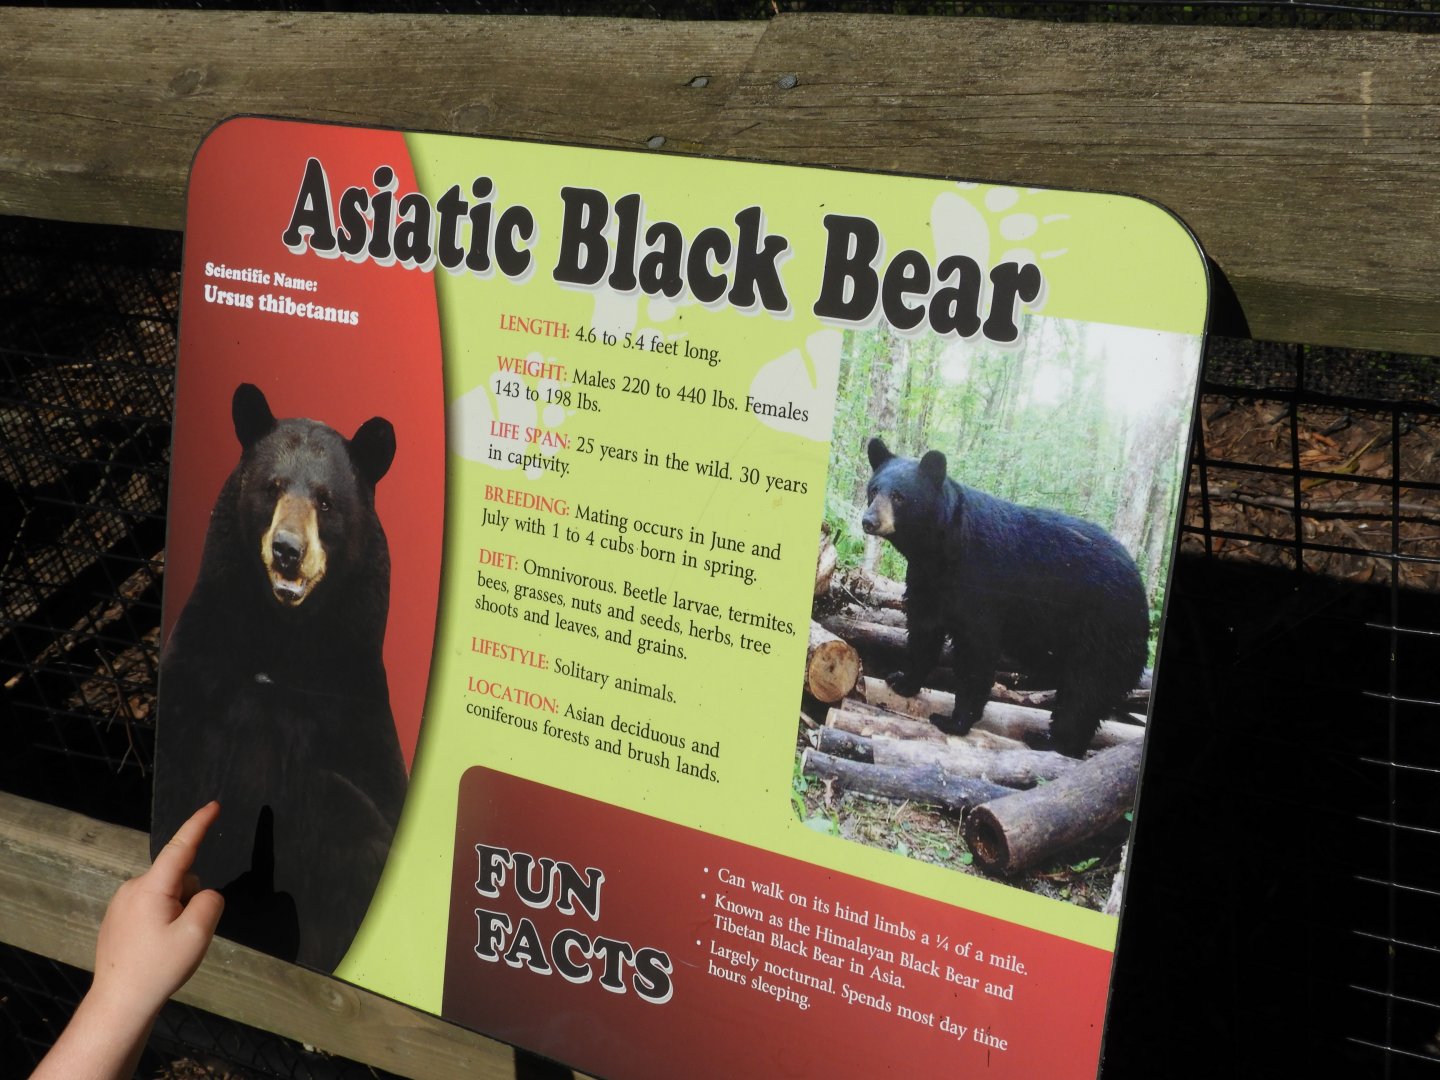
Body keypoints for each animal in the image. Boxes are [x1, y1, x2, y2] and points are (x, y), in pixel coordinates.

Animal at [151, 382, 408, 973]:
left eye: (326, 500)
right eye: (270, 488)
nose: (288, 550)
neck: (283, 636)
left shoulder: (350, 700)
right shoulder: (202, 663)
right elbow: (183, 769)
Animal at [862, 436, 1148, 758]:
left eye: (899, 496)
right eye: (873, 490)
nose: (869, 520)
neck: (940, 549)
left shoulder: (980, 583)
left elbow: (976, 651)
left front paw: (954, 721)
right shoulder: (928, 582)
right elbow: (924, 631)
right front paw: (902, 680)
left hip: (1102, 633)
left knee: (1085, 690)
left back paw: (1052, 741)